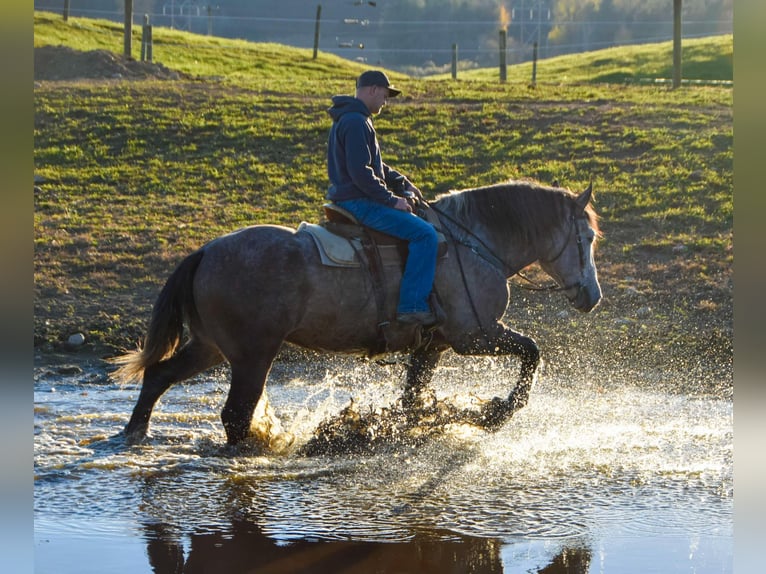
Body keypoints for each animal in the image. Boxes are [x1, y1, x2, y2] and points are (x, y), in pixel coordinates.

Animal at [112, 180, 608, 446]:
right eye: (585, 238)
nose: (592, 296)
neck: (471, 244)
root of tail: (206, 252)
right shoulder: (475, 336)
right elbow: (532, 352)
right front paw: (496, 413)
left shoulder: (435, 345)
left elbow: (412, 398)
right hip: (253, 355)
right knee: (235, 413)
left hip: (212, 346)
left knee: (158, 376)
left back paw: (134, 434)